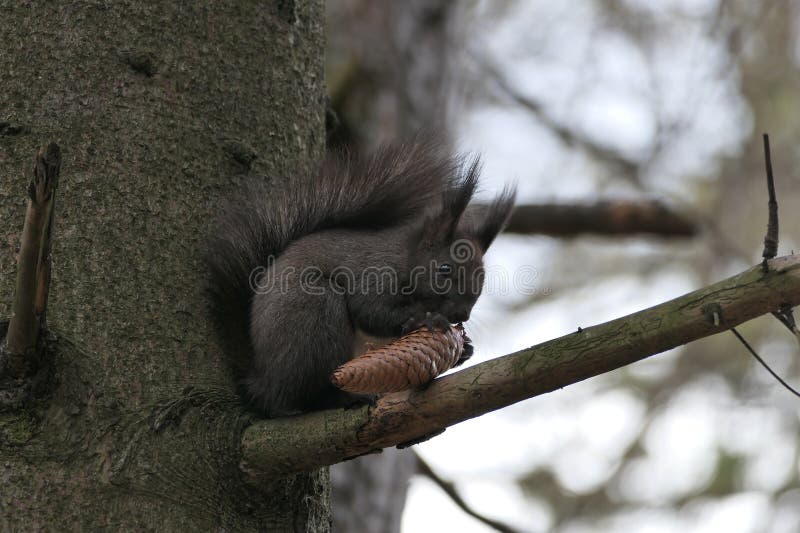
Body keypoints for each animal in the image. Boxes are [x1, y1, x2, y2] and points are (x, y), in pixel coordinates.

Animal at [202, 139, 516, 417]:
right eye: (445, 270)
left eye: (483, 279)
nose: (462, 314)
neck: (405, 260)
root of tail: (261, 380)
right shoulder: (373, 273)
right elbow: (369, 310)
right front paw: (421, 318)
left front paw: (465, 349)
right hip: (314, 314)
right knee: (304, 396)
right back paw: (341, 398)